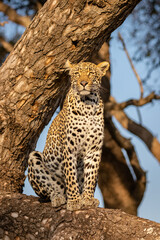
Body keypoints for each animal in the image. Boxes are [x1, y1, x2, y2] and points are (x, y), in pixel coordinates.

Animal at [28, 59, 109, 210]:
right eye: (77, 73)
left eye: (91, 73)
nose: (83, 83)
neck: (88, 104)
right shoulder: (69, 148)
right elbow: (71, 175)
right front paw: (74, 201)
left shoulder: (94, 149)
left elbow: (90, 175)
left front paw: (87, 198)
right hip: (34, 158)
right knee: (50, 190)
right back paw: (58, 197)